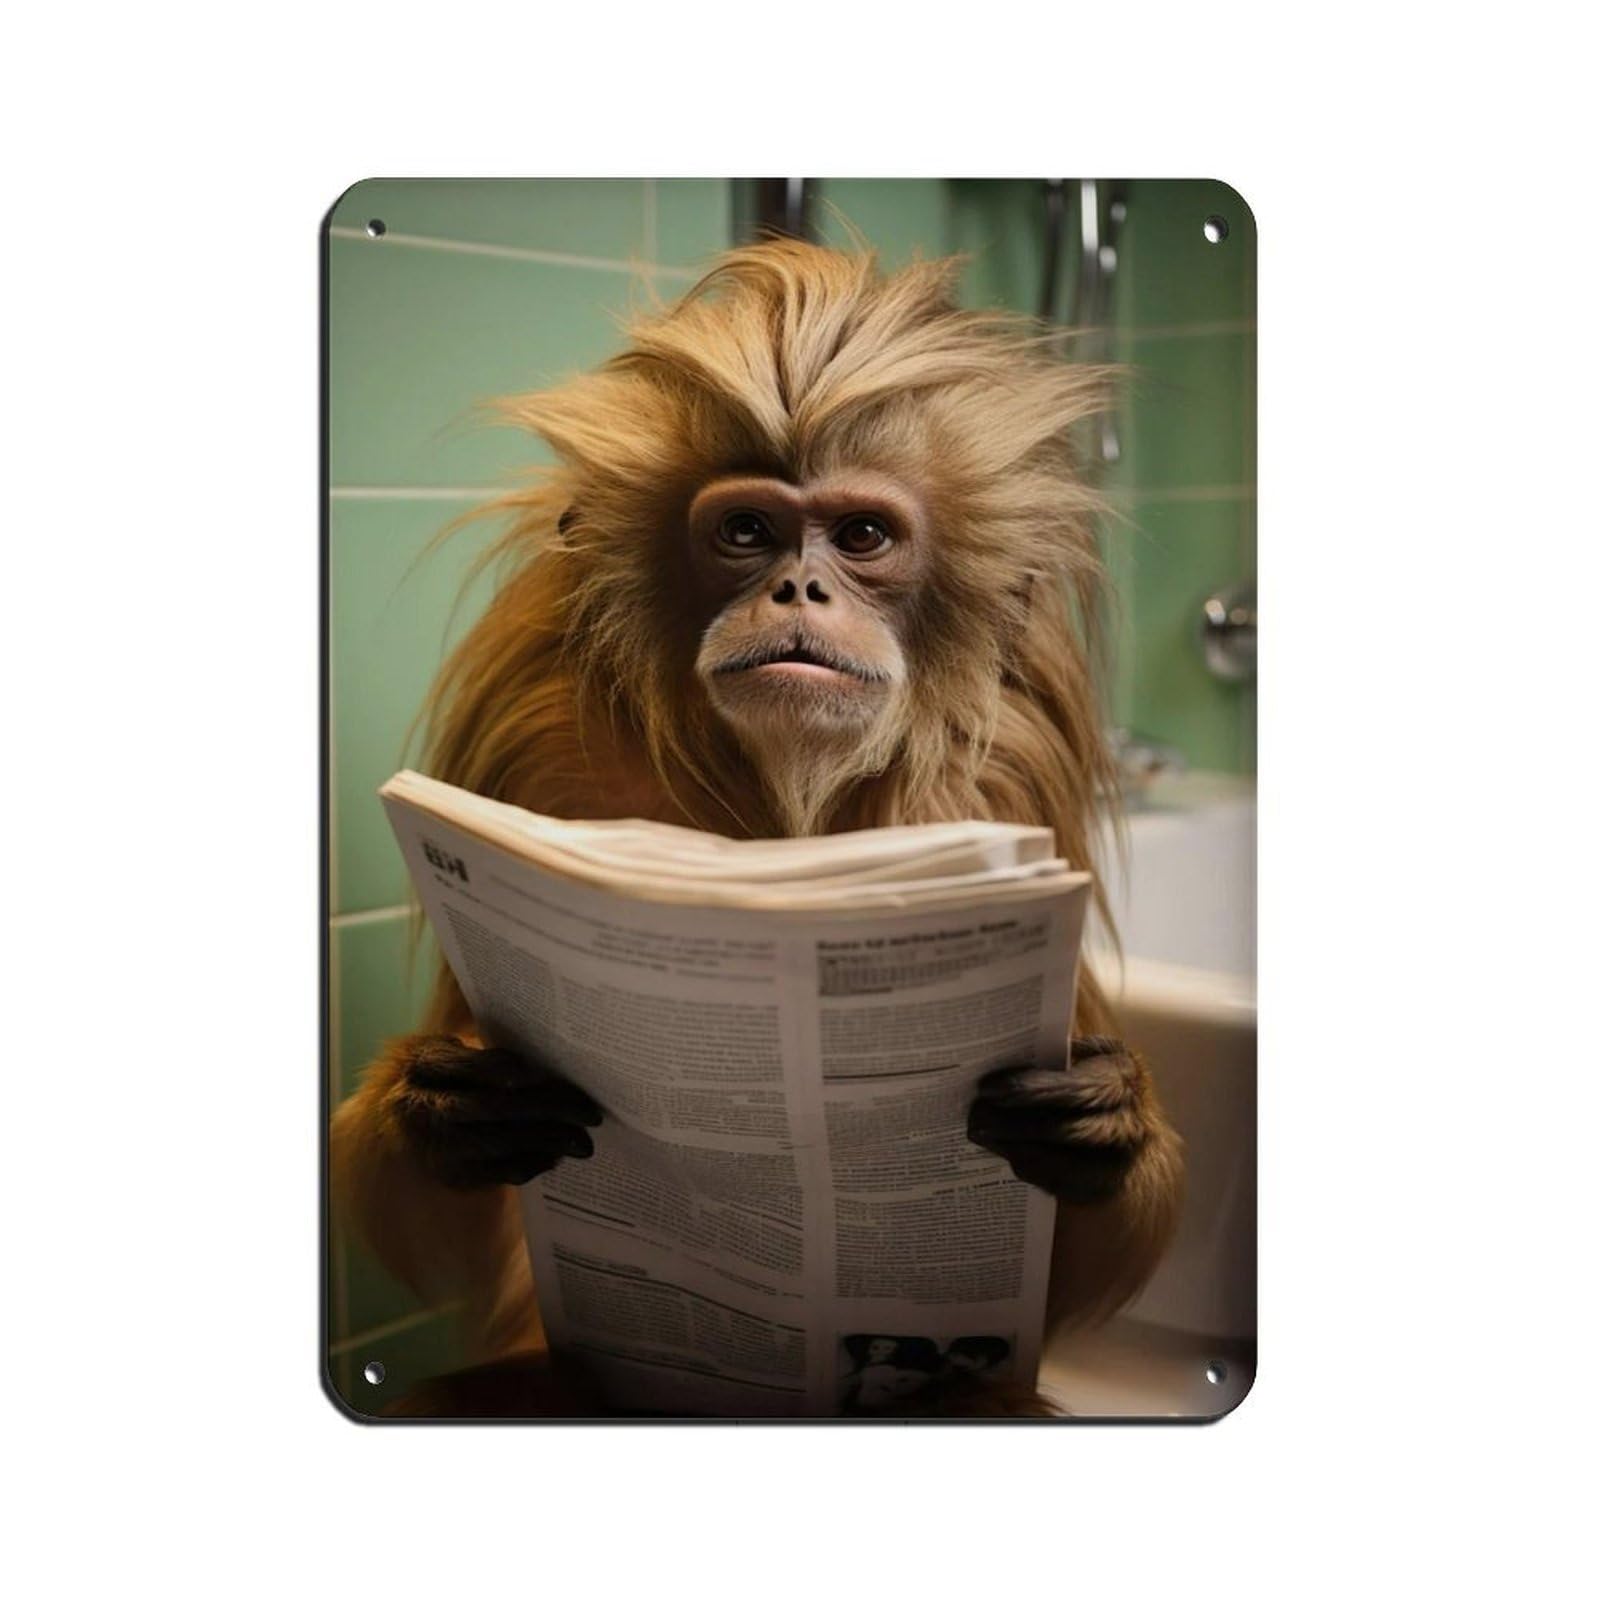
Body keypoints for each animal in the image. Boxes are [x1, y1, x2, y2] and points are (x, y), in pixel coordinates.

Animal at [330, 238, 1184, 1417]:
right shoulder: (538, 728)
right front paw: (447, 1110)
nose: (799, 587)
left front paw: (1103, 1126)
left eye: (862, 535)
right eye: (747, 532)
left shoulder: (1007, 782)